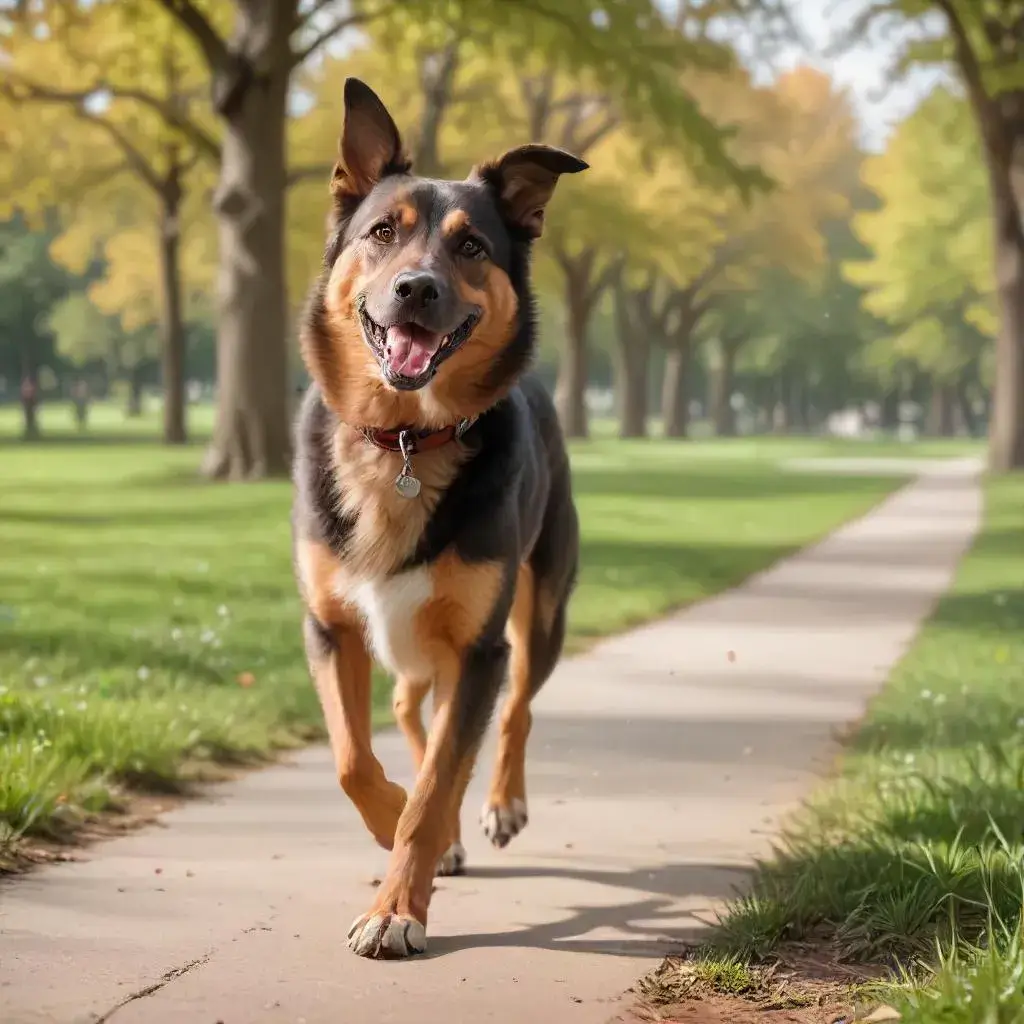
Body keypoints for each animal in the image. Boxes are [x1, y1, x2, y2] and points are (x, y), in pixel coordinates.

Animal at [292, 79, 589, 958]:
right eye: (382, 232)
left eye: (472, 247)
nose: (416, 289)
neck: (402, 440)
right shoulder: (332, 626)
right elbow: (355, 762)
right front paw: (393, 822)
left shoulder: (480, 645)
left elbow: (438, 783)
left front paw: (397, 906)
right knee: (408, 710)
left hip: (538, 610)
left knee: (516, 707)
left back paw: (496, 804)